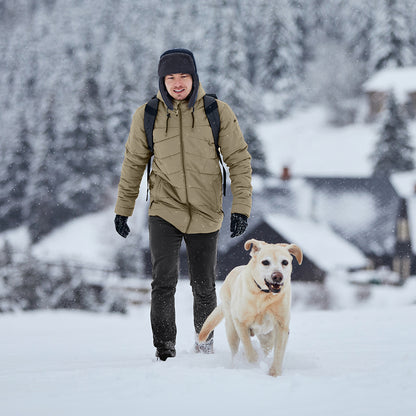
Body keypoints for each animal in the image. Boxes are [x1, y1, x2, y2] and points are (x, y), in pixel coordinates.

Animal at [198, 237, 302, 376]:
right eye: (265, 262)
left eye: (284, 262)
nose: (277, 276)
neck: (263, 295)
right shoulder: (240, 322)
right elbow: (247, 345)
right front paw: (253, 362)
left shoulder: (282, 324)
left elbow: (279, 351)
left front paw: (274, 373)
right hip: (231, 329)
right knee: (235, 350)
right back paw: (237, 364)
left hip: (267, 335)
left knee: (267, 346)